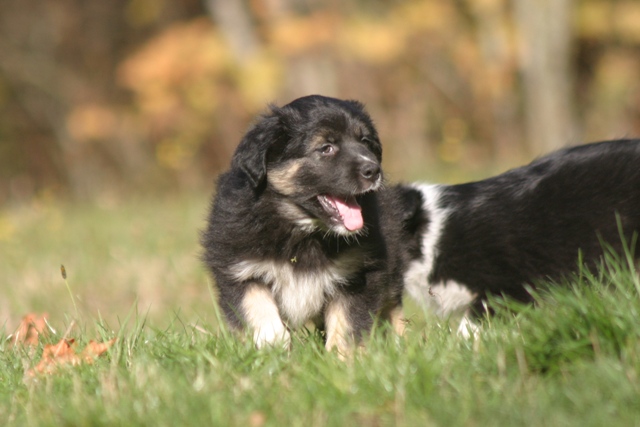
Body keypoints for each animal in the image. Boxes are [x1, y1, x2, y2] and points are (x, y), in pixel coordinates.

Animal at [201, 95, 412, 355]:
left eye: (365, 142)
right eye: (326, 148)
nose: (373, 170)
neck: (304, 230)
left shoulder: (359, 274)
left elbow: (347, 325)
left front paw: (340, 359)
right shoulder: (239, 270)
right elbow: (258, 311)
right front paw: (273, 350)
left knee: (394, 309)